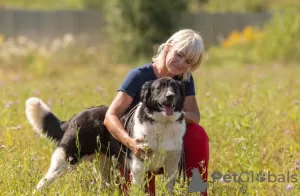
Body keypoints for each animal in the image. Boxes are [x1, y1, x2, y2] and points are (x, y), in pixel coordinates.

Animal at [25, 76, 185, 193]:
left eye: (175, 88)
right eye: (159, 88)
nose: (170, 96)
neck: (163, 123)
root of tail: (75, 117)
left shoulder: (171, 165)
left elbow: (168, 188)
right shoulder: (138, 165)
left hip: (103, 165)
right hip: (66, 159)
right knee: (43, 182)